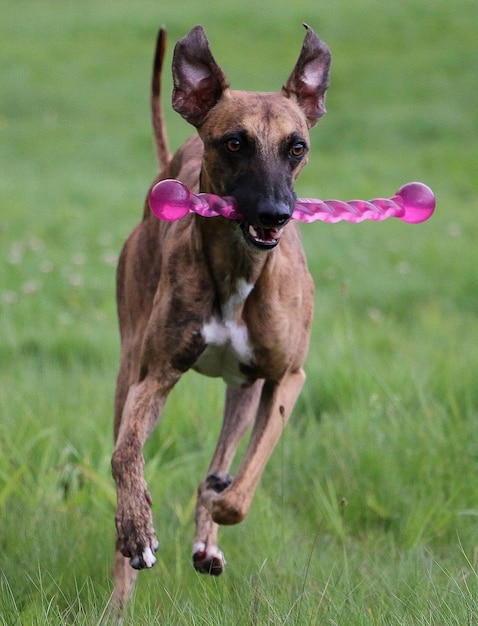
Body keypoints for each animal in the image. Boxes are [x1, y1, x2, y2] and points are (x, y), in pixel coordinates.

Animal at [110, 24, 330, 604]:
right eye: (234, 142)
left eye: (297, 147)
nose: (275, 214)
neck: (239, 269)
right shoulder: (154, 376)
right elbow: (124, 455)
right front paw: (137, 530)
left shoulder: (286, 378)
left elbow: (238, 490)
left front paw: (215, 506)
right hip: (129, 363)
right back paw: (120, 589)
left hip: (245, 389)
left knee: (225, 460)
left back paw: (207, 534)